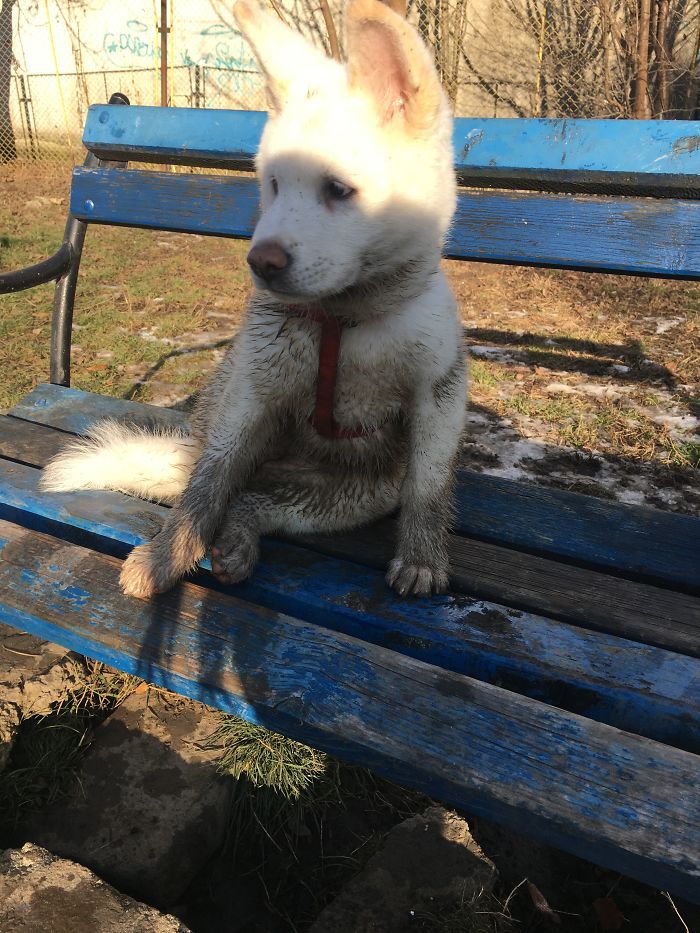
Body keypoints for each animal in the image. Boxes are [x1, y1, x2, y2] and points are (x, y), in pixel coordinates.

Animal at [45, 0, 470, 596]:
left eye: (338, 189)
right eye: (271, 184)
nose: (260, 262)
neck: (342, 318)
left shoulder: (439, 395)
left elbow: (428, 487)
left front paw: (423, 557)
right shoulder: (251, 398)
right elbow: (206, 492)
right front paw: (167, 553)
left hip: (348, 496)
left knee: (253, 500)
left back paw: (240, 538)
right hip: (231, 412)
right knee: (219, 484)